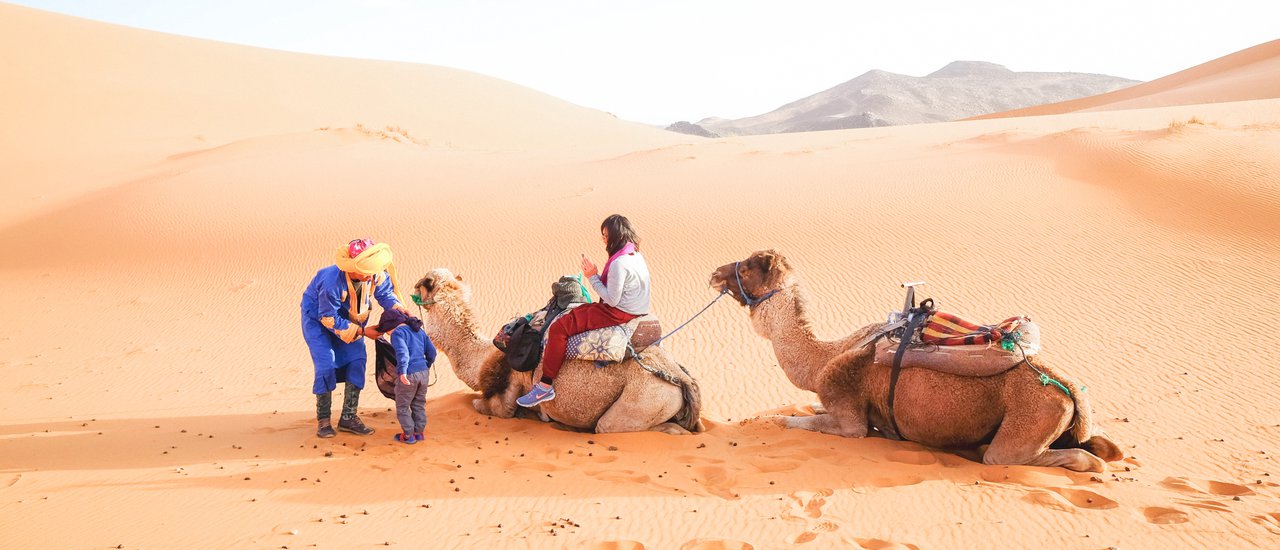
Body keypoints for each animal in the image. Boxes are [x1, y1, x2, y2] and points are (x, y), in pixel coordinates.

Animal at [412, 268, 703, 434]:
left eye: (422, 283)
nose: (413, 286)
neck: (482, 356)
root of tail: (680, 377)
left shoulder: (509, 391)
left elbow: (484, 405)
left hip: (645, 400)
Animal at [709, 250, 1123, 472]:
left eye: (748, 266)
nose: (714, 273)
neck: (824, 359)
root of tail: (1064, 386)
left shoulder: (850, 418)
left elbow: (791, 420)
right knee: (1102, 447)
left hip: (1028, 423)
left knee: (1052, 458)